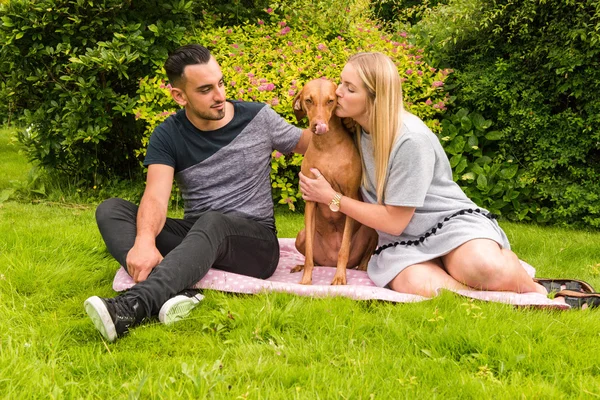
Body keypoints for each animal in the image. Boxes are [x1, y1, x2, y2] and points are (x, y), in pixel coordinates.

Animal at [290, 78, 376, 284]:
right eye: (308, 100)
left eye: (331, 101)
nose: (318, 125)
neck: (327, 146)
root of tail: (328, 262)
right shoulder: (310, 201)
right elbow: (309, 253)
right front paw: (306, 279)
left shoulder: (350, 196)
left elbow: (343, 248)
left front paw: (339, 277)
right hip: (301, 235)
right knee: (313, 255)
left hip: (371, 230)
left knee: (364, 257)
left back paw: (362, 269)